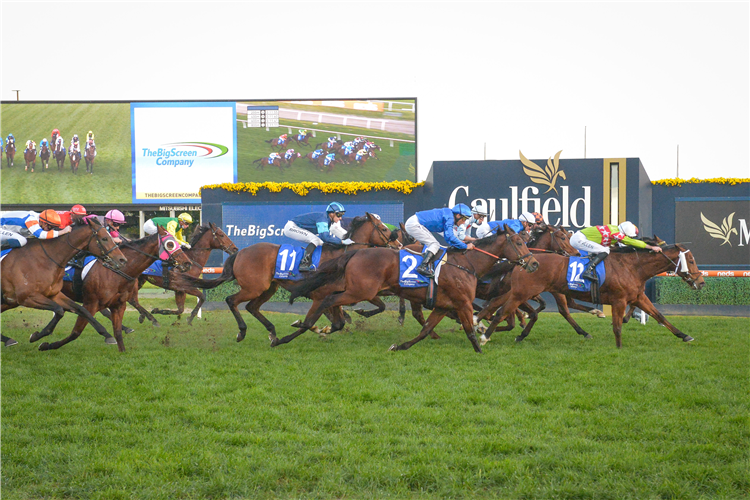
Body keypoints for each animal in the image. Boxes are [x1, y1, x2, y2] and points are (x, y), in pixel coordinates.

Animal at [0, 221, 128, 350]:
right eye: (104, 238)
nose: (122, 260)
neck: (45, 259)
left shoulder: (54, 294)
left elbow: (80, 310)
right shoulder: (27, 297)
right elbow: (59, 310)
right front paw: (37, 336)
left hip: (10, 302)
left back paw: (8, 340)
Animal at [35, 227, 194, 352]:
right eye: (170, 244)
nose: (187, 263)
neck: (116, 272)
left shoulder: (119, 305)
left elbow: (117, 332)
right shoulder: (90, 303)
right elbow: (76, 331)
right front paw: (47, 345)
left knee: (60, 311)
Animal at [173, 213, 402, 346]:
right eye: (383, 229)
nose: (398, 245)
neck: (342, 256)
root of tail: (240, 252)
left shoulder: (337, 295)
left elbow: (338, 323)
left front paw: (322, 329)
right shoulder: (320, 296)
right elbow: (314, 321)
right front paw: (308, 328)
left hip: (268, 288)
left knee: (252, 307)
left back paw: (272, 333)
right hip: (254, 287)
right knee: (232, 301)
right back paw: (243, 332)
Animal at [284, 229, 540, 352]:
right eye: (519, 242)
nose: (535, 263)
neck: (468, 264)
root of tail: (356, 252)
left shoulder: (443, 305)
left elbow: (425, 330)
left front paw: (399, 346)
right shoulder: (463, 303)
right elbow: (470, 330)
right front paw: (480, 348)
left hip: (352, 287)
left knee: (325, 297)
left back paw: (311, 328)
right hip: (360, 291)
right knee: (328, 300)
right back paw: (304, 329)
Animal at [482, 243, 704, 348]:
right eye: (692, 261)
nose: (701, 282)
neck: (632, 267)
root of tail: (524, 262)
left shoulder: (638, 297)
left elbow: (660, 316)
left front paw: (684, 335)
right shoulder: (619, 300)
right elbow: (617, 327)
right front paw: (619, 348)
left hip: (519, 292)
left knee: (497, 305)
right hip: (522, 293)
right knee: (501, 311)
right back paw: (484, 336)